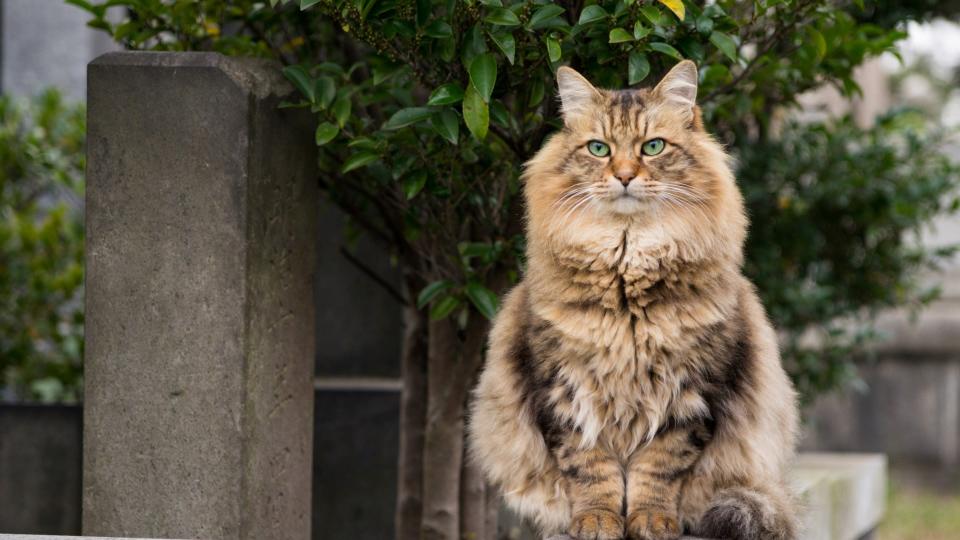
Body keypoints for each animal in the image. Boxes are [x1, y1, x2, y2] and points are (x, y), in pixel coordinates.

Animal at [468, 60, 800, 540]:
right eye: (599, 149)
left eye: (653, 147)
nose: (624, 176)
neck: (627, 272)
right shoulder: (564, 392)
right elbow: (591, 471)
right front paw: (597, 521)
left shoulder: (690, 395)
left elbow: (657, 470)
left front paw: (651, 521)